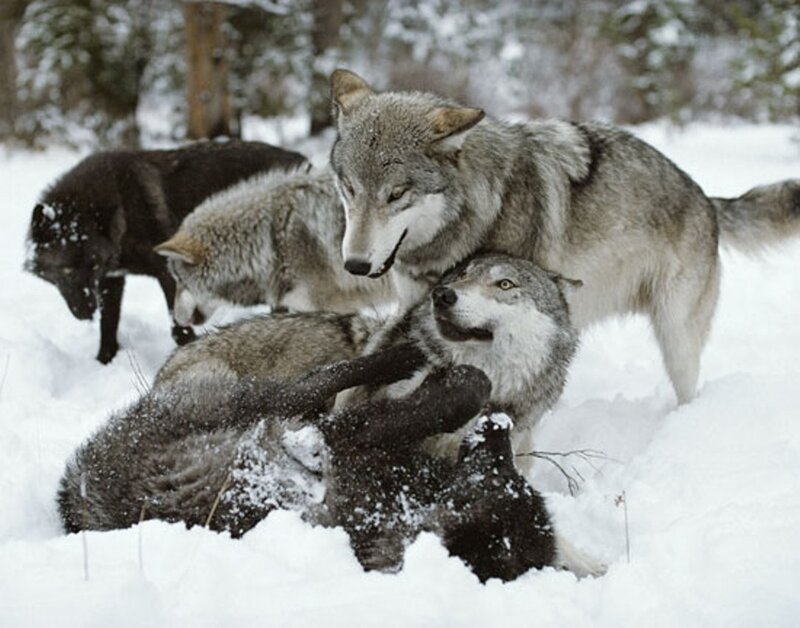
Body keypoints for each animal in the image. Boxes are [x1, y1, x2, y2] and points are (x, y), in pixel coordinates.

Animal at [25, 140, 306, 363]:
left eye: (92, 266)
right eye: (66, 270)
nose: (87, 311)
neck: (122, 208)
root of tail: (302, 161)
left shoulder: (167, 272)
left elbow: (179, 328)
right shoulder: (112, 279)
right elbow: (109, 325)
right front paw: (104, 361)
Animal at [58, 343, 572, 582]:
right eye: (506, 472)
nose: (501, 426)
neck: (399, 505)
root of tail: (75, 494)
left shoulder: (349, 438)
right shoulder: (354, 436)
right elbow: (459, 395)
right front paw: (460, 381)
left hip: (260, 406)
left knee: (318, 381)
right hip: (260, 401)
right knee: (326, 377)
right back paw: (405, 355)